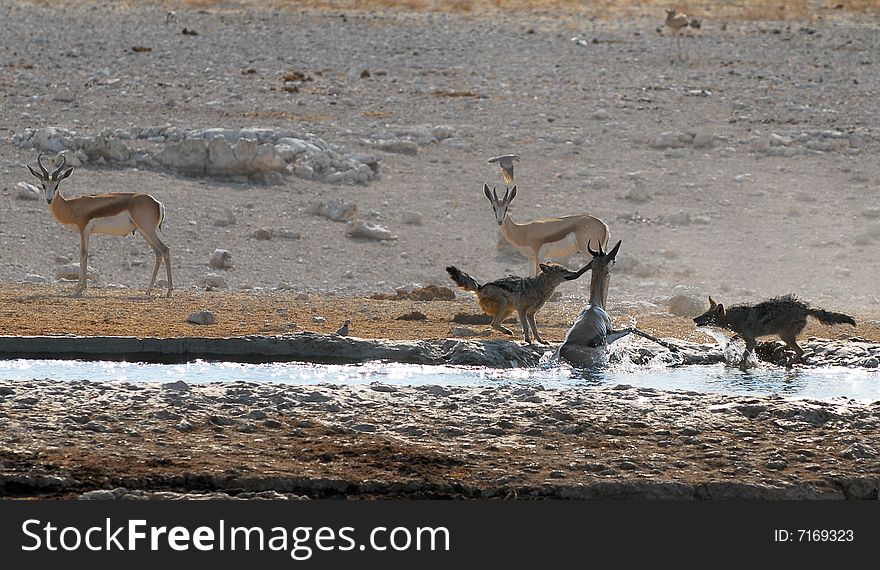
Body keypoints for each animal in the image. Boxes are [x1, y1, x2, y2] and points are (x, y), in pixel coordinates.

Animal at [26, 153, 172, 296]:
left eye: (56, 185)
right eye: (43, 185)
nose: (49, 200)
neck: (72, 206)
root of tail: (157, 202)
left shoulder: (83, 229)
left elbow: (83, 254)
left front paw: (79, 289)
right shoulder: (85, 232)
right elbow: (84, 254)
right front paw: (81, 287)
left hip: (147, 230)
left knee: (165, 249)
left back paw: (169, 291)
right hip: (144, 232)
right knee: (158, 253)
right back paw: (148, 290)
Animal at [482, 184, 612, 276]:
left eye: (507, 207)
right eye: (494, 207)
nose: (500, 221)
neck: (523, 231)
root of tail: (604, 225)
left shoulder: (539, 256)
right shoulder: (531, 258)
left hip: (589, 252)